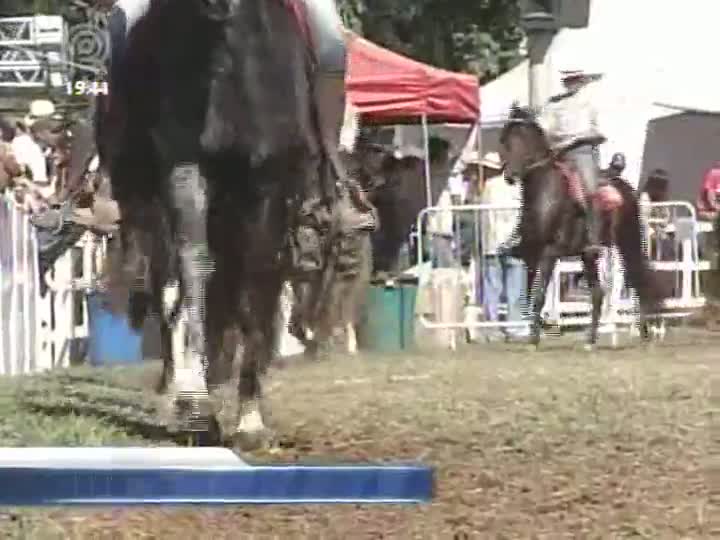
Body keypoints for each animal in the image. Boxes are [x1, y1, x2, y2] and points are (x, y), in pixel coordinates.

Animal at [101, 0, 340, 448]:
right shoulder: (186, 169)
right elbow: (196, 271)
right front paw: (198, 406)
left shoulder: (267, 183)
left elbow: (255, 284)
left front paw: (249, 419)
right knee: (170, 286)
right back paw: (181, 387)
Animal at [500, 107, 664, 348]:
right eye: (503, 140)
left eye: (519, 138)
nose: (509, 176)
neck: (546, 195)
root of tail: (624, 187)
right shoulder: (529, 253)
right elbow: (528, 292)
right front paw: (535, 329)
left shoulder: (550, 252)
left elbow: (539, 293)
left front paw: (534, 337)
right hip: (588, 256)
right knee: (599, 292)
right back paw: (591, 339)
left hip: (626, 242)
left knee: (635, 279)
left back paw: (643, 333)